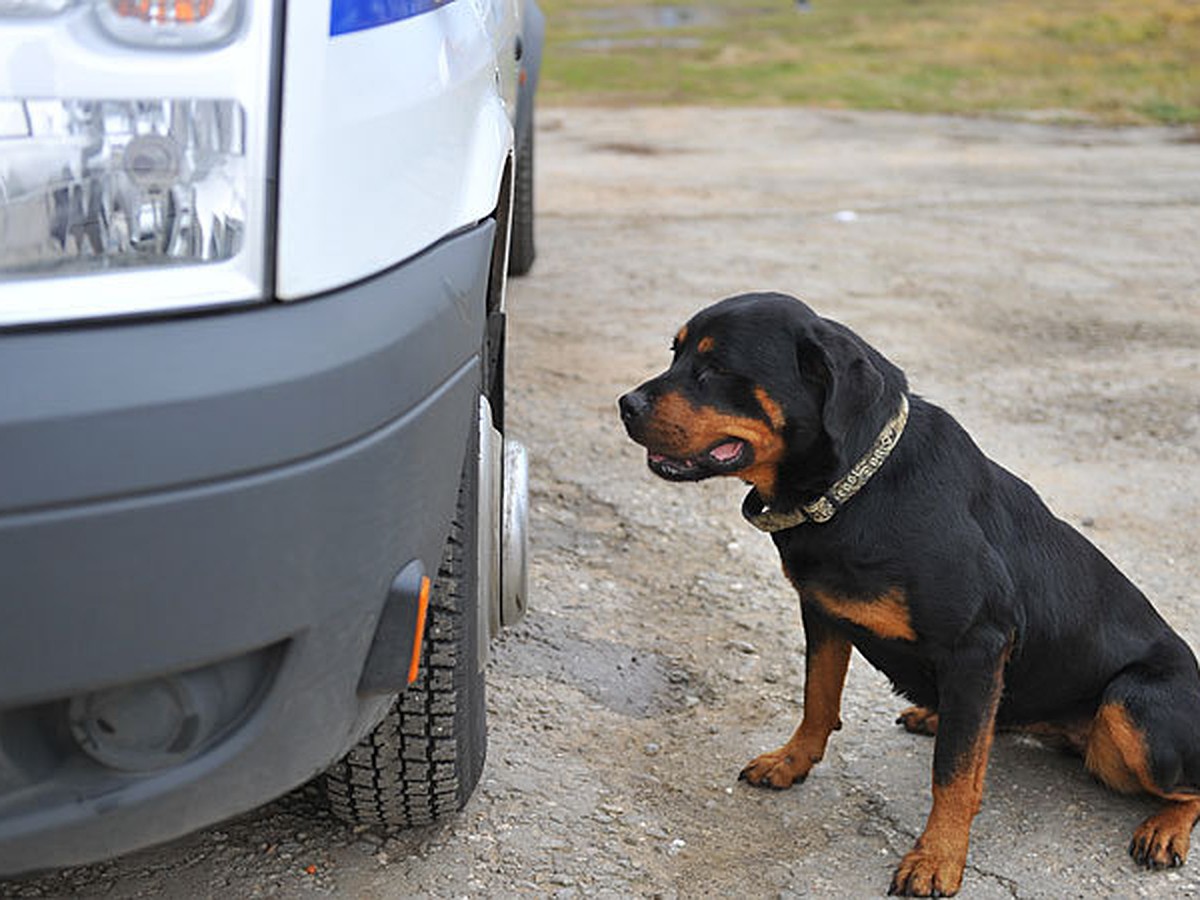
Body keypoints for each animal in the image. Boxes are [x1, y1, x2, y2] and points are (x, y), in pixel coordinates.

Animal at [619, 294, 1200, 897]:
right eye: (676, 352)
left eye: (717, 369)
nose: (625, 405)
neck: (856, 487)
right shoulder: (821, 612)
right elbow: (817, 698)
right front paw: (792, 762)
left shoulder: (978, 646)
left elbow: (954, 774)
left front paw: (937, 857)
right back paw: (938, 714)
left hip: (1132, 710)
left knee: (1188, 787)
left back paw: (1163, 828)